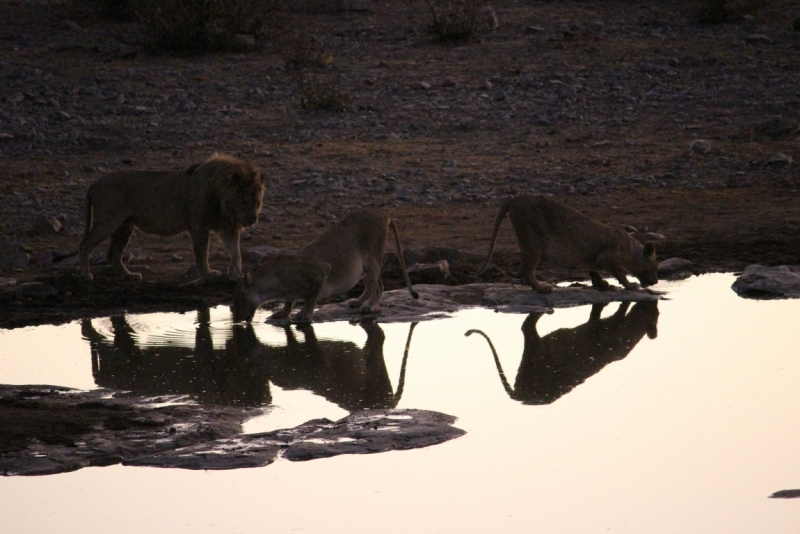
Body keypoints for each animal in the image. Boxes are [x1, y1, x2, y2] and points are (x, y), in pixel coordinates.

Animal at [54, 153, 266, 282]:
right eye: (244, 202)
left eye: (257, 203)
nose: (252, 220)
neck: (222, 197)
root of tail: (93, 184)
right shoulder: (199, 226)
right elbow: (202, 253)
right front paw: (208, 274)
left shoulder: (229, 227)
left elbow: (236, 252)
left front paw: (236, 274)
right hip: (108, 221)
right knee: (84, 244)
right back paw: (86, 274)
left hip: (125, 226)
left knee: (113, 254)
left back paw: (130, 275)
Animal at [231, 208, 418, 324]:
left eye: (237, 301)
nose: (236, 319)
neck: (274, 284)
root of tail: (382, 212)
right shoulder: (291, 290)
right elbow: (289, 301)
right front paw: (283, 313)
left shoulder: (321, 271)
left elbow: (311, 298)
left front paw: (305, 314)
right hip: (363, 267)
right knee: (370, 285)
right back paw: (357, 302)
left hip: (372, 257)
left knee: (379, 286)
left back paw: (368, 306)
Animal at [478, 194, 660, 292]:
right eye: (655, 267)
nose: (657, 282)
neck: (631, 250)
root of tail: (516, 197)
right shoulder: (607, 257)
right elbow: (621, 274)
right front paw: (631, 286)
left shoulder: (595, 257)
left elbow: (594, 270)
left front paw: (602, 284)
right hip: (535, 240)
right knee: (526, 270)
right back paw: (543, 288)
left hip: (527, 241)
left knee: (522, 268)